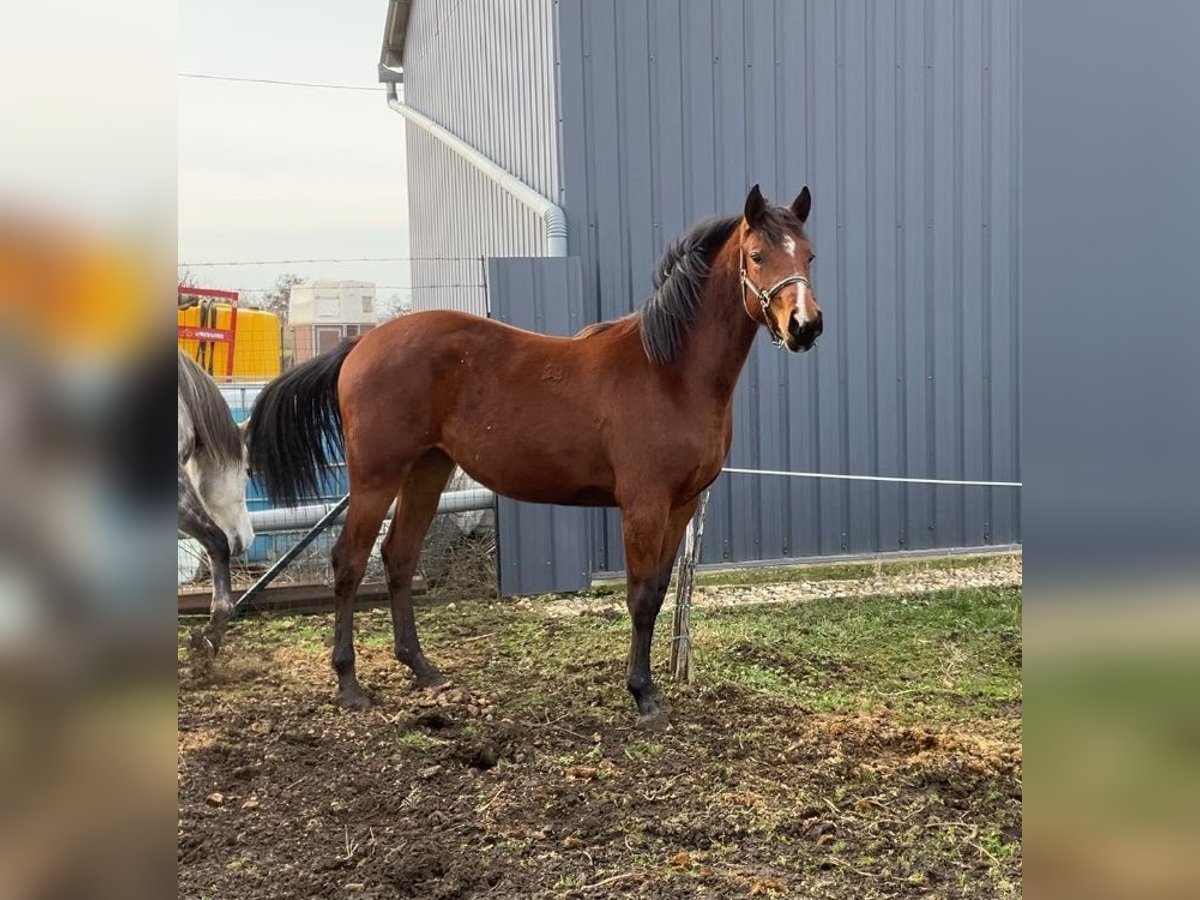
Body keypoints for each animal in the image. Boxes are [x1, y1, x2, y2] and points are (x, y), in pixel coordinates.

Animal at [247, 184, 820, 724]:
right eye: (756, 255)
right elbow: (638, 596)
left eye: (810, 255)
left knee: (399, 557)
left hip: (428, 470)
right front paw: (642, 693)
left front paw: (648, 685)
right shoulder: (644, 505)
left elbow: (657, 592)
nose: (805, 326)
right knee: (349, 562)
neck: (669, 372)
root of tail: (360, 346)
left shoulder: (681, 505)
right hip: (374, 477)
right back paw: (349, 684)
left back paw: (423, 669)